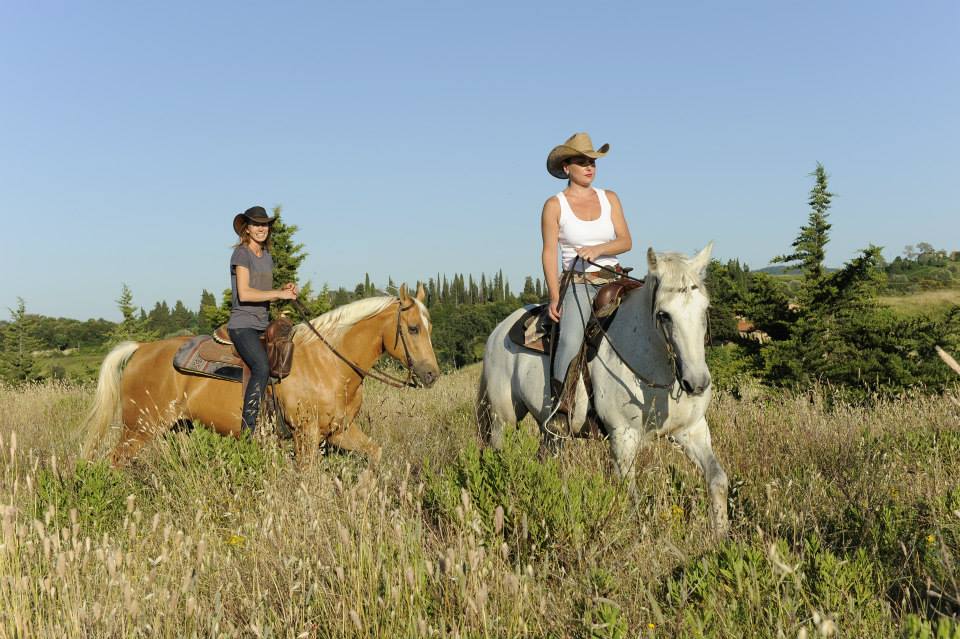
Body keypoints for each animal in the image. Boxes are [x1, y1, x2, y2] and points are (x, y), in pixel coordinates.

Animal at [83, 284, 442, 464]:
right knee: (115, 460)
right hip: (138, 429)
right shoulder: (306, 435)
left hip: (176, 428)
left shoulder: (340, 431)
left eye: (430, 327)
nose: (431, 375)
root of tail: (142, 348)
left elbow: (374, 454)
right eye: (412, 328)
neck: (329, 364)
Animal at [480, 244, 728, 536]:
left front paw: (721, 536)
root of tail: (498, 331)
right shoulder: (623, 436)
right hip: (502, 419)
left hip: (550, 432)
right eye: (663, 314)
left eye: (705, 309)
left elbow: (717, 479)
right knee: (499, 455)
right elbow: (632, 497)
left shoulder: (692, 430)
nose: (697, 382)